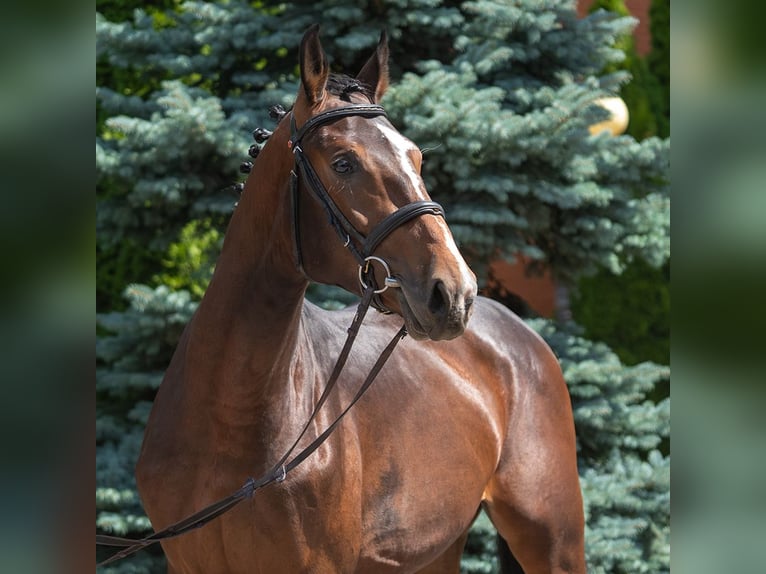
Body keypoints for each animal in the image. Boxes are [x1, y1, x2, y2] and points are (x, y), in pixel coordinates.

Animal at [135, 25, 586, 574]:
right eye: (344, 162)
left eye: (416, 157)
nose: (454, 292)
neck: (229, 417)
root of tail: (521, 334)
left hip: (554, 542)